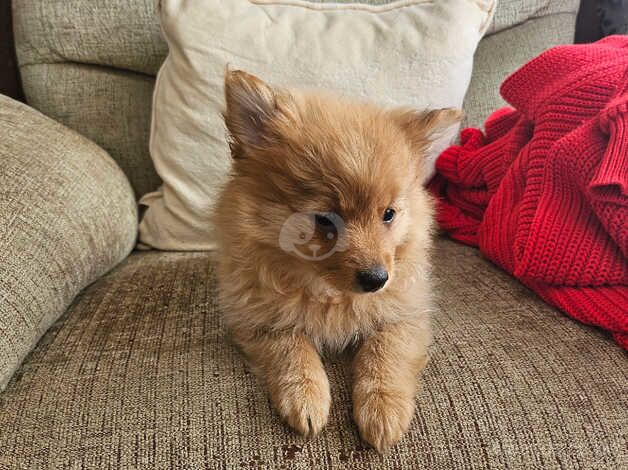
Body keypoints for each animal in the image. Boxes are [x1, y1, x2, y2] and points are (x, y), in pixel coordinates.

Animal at [216, 69, 462, 452]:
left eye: (388, 214)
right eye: (324, 220)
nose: (377, 279)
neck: (328, 294)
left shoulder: (405, 314)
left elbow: (385, 353)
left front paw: (383, 409)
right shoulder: (258, 318)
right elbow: (291, 350)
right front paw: (306, 398)